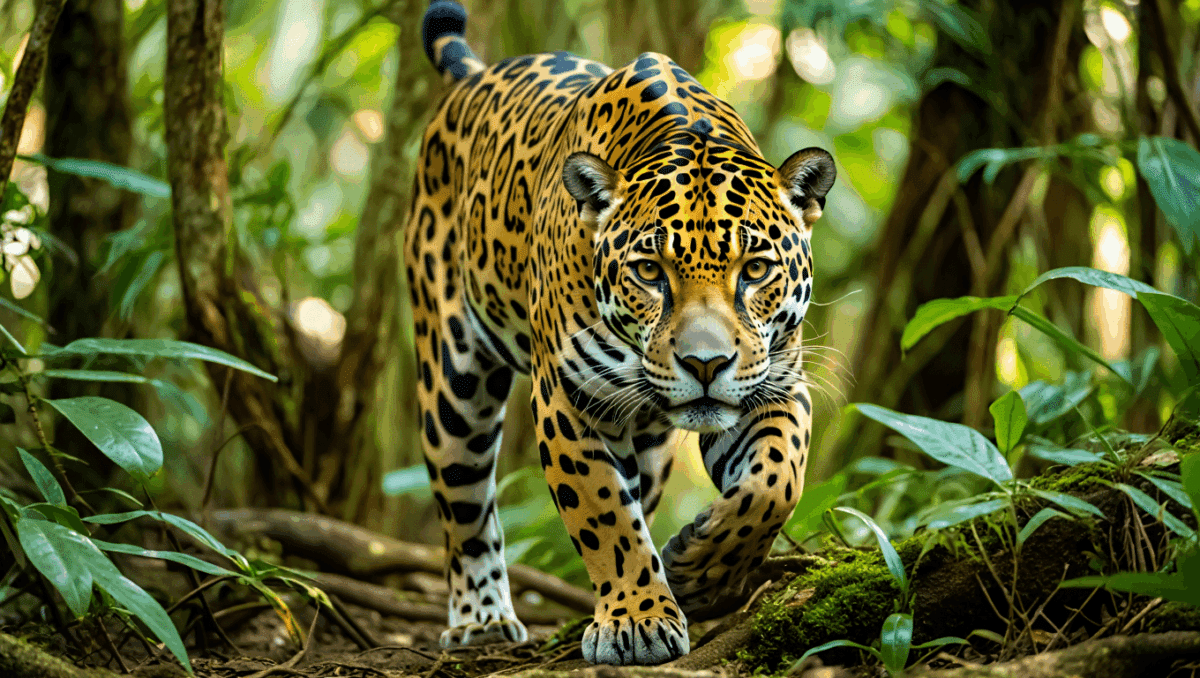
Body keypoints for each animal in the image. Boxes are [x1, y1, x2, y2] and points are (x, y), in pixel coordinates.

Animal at [406, 0, 836, 665]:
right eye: (650, 272)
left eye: (755, 269)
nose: (705, 364)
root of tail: (477, 75)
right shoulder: (569, 400)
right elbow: (603, 511)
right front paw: (638, 619)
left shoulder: (775, 383)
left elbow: (774, 482)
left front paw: (700, 570)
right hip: (453, 378)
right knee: (465, 501)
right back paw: (482, 618)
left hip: (654, 444)